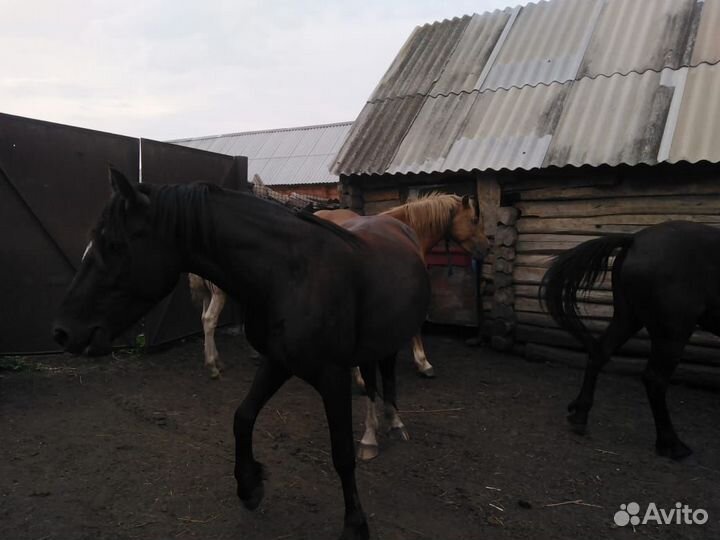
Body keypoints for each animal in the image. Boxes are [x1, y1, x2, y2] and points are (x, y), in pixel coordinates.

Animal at [52, 168, 431, 540]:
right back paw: (382, 426)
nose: (63, 332)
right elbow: (243, 417)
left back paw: (388, 424)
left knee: (381, 376)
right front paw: (249, 485)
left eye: (114, 245)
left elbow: (341, 453)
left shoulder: (331, 376)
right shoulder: (277, 362)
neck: (289, 276)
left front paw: (355, 524)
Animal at [540, 220, 720, 460]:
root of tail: (634, 240)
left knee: (600, 353)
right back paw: (671, 444)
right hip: (673, 330)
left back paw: (580, 415)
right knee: (655, 378)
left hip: (628, 316)